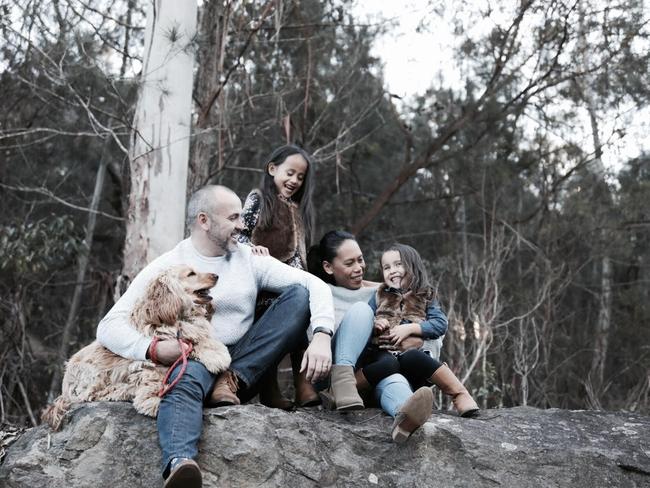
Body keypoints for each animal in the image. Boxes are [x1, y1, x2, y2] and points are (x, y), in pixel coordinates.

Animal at [43, 264, 230, 428]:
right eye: (191, 274)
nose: (216, 275)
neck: (177, 316)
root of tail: (63, 389)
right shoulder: (156, 356)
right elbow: (158, 374)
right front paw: (153, 399)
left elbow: (200, 339)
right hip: (92, 374)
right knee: (89, 395)